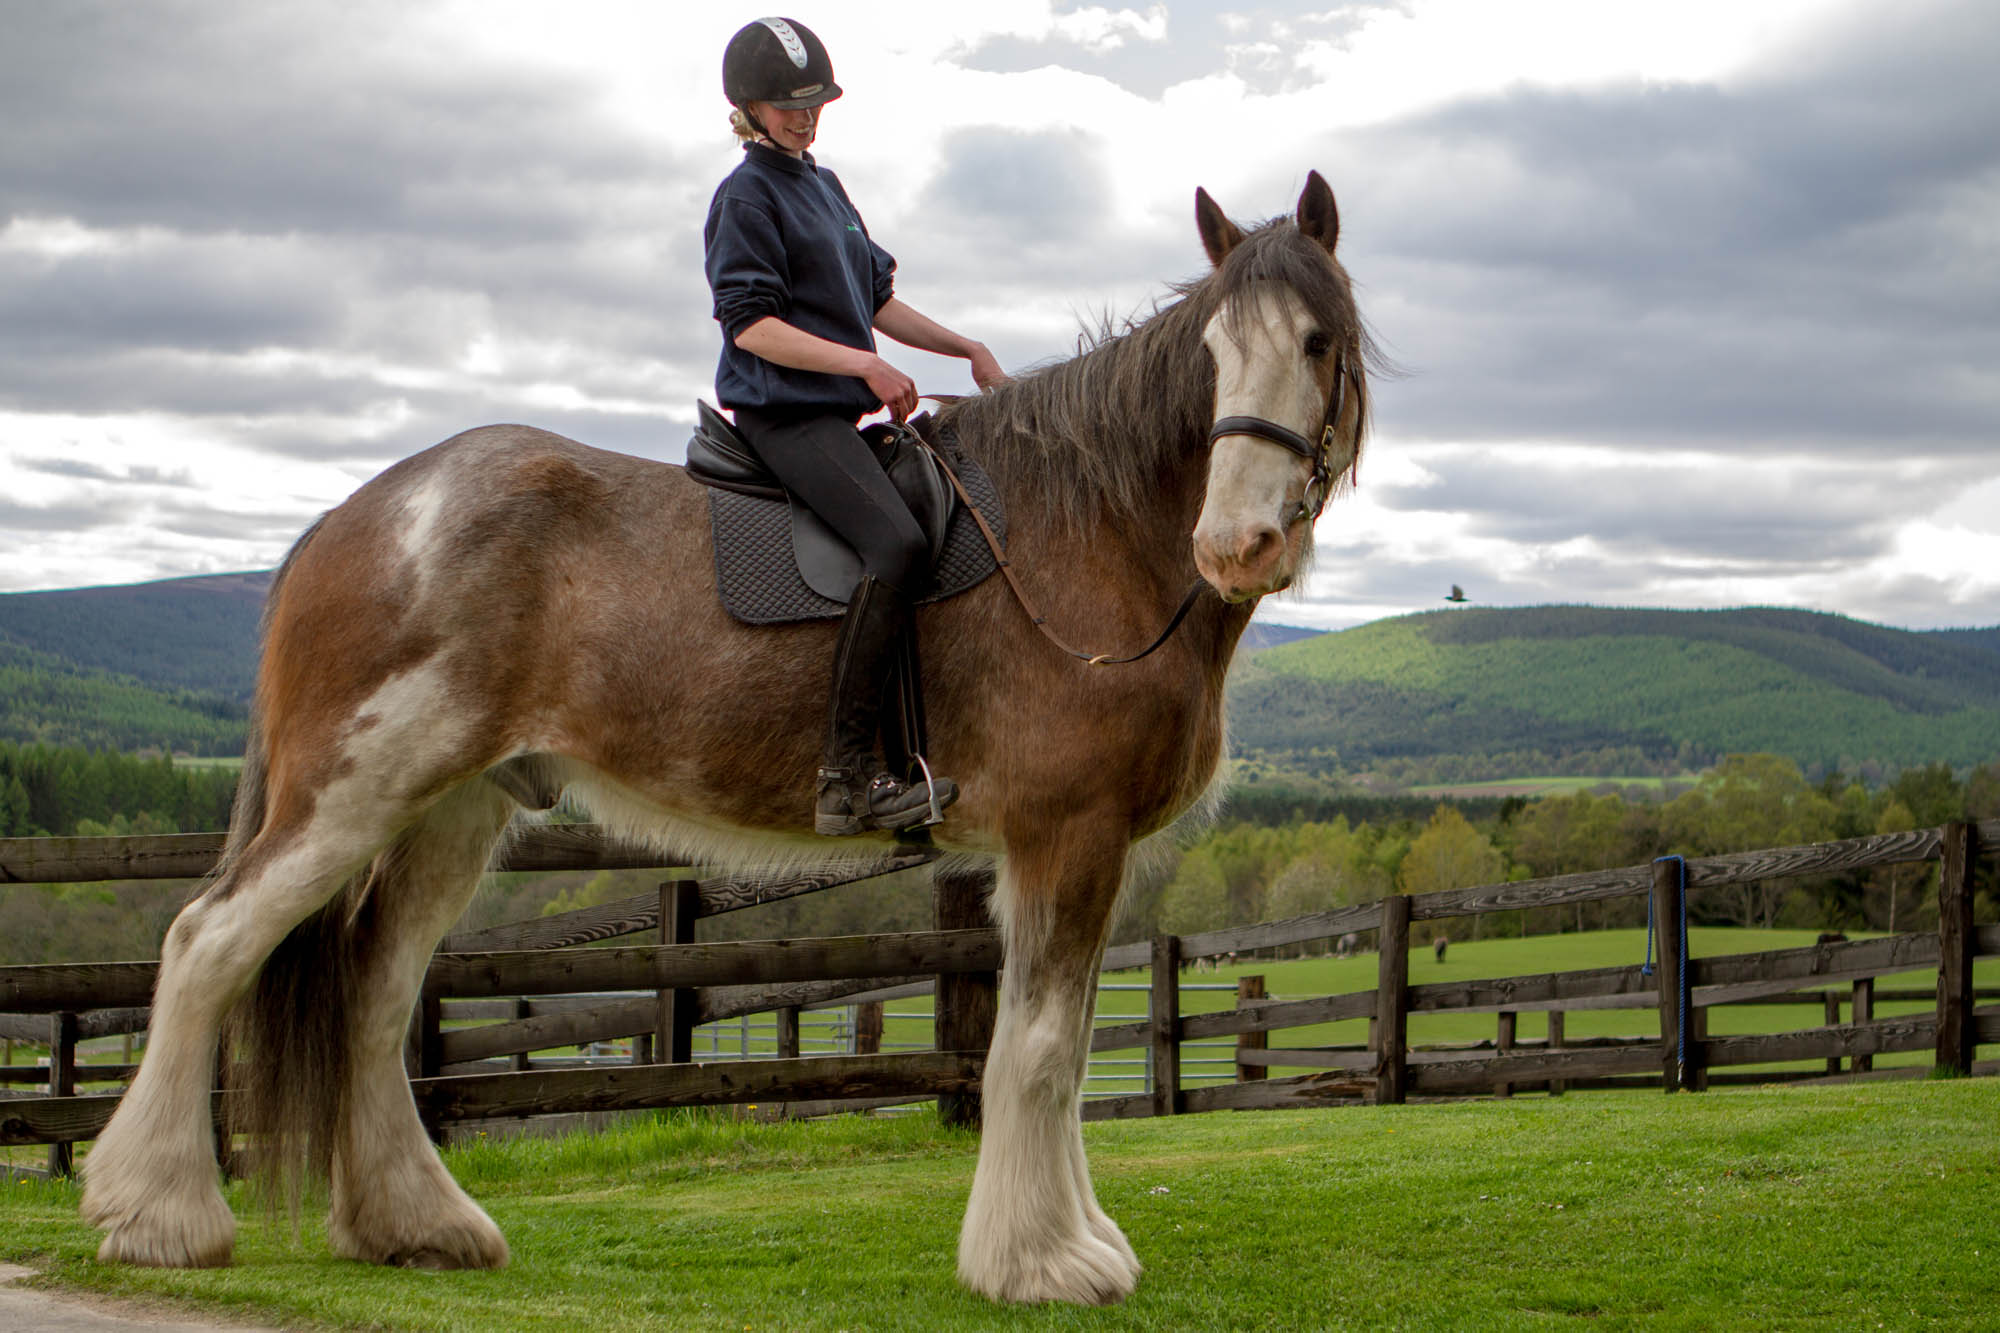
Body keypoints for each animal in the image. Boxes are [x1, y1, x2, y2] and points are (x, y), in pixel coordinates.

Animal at [74, 171, 1360, 1304]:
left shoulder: (1079, 852)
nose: (1235, 544)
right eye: (1208, 357)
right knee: (206, 942)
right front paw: (1040, 1263)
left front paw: (1071, 1240)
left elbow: (1071, 1042)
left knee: (377, 996)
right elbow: (1040, 1049)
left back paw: (414, 1224)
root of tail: (356, 517)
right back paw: (158, 1214)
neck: (1080, 534)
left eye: (1315, 342)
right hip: (349, 791)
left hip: (450, 808)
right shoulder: (1063, 835)